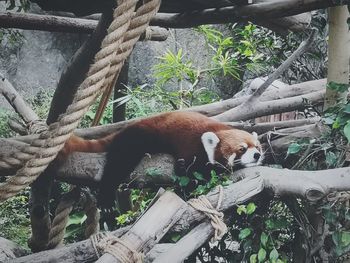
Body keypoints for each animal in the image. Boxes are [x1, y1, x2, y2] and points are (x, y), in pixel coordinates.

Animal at [60, 112, 262, 209]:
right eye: (242, 149)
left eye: (258, 147)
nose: (257, 155)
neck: (217, 130)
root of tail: (125, 129)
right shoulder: (191, 147)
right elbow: (187, 175)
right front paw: (190, 191)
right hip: (139, 138)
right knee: (118, 163)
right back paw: (106, 197)